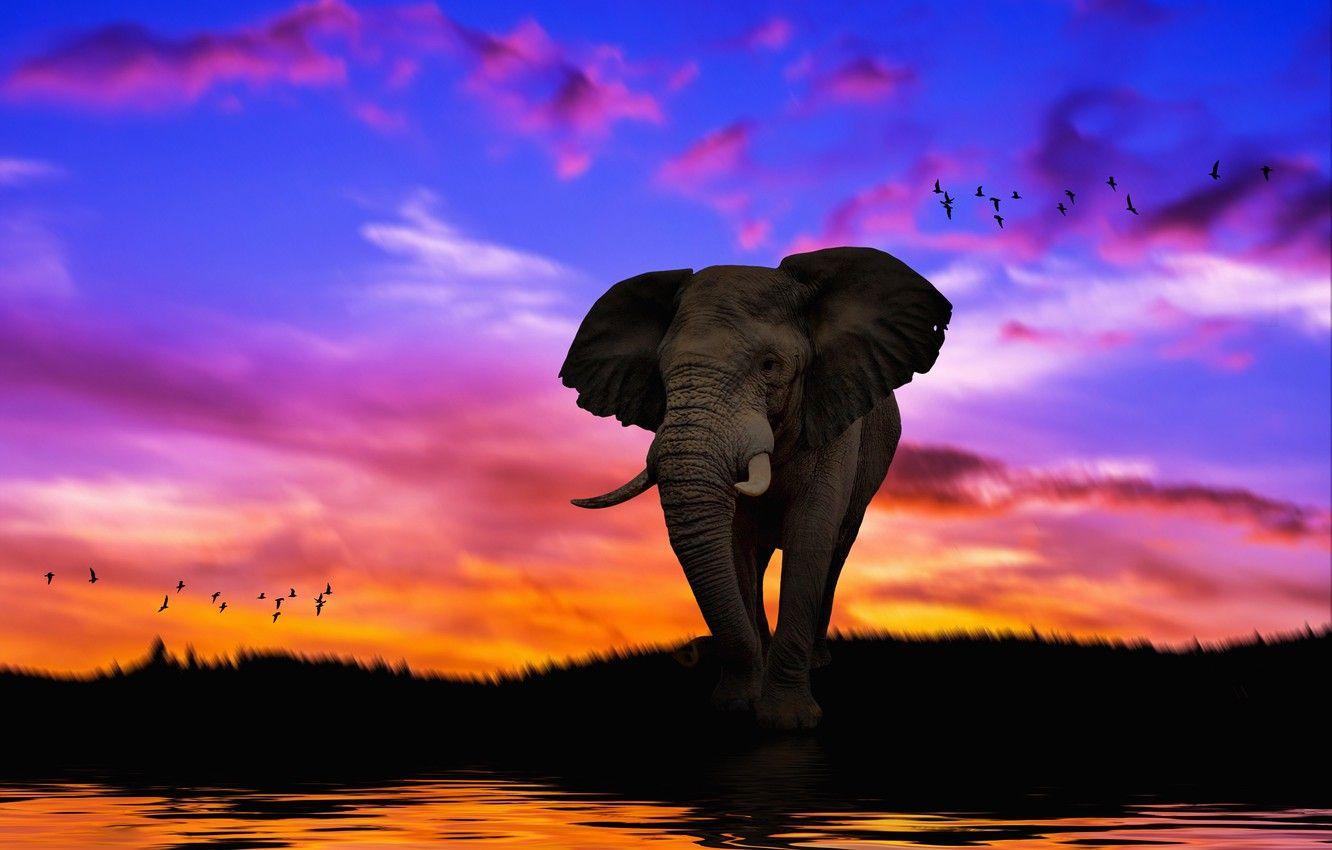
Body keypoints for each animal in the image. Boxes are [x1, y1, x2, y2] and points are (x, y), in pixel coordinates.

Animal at [560, 246, 952, 730]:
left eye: (770, 366)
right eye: (662, 374)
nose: (691, 656)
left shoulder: (835, 417)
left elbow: (810, 535)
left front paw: (787, 722)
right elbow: (736, 545)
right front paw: (737, 703)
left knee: (838, 550)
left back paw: (817, 660)